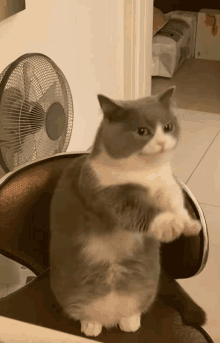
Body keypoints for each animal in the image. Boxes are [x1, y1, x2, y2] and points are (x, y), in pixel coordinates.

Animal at [49, 88, 205, 338]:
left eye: (168, 126)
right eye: (142, 131)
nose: (161, 141)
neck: (146, 174)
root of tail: (110, 318)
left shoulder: (167, 186)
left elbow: (176, 203)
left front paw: (188, 224)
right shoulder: (106, 194)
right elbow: (138, 210)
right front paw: (169, 226)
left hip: (146, 286)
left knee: (133, 309)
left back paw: (130, 322)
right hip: (72, 292)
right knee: (85, 313)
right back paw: (91, 326)